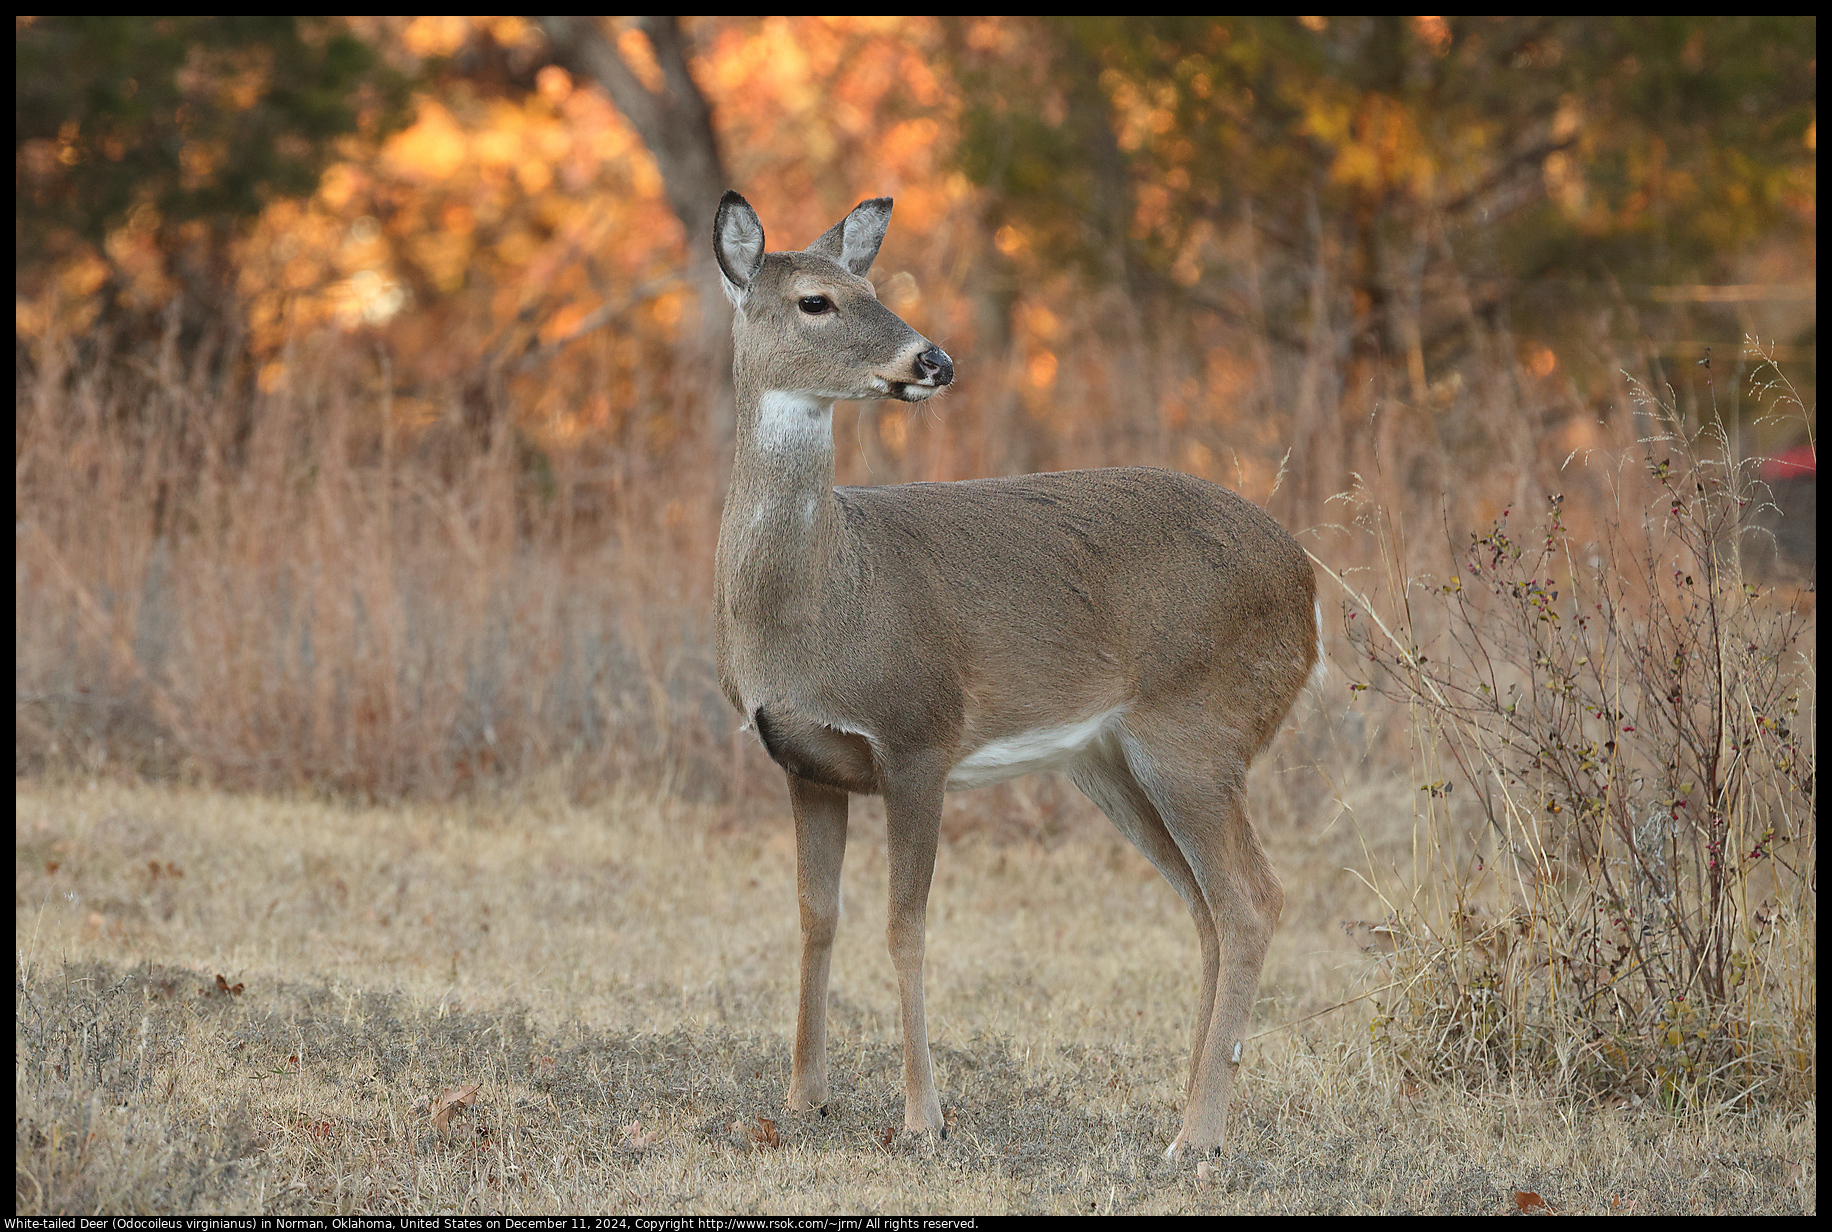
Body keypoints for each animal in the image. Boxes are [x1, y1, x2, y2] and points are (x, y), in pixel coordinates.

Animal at [703, 187, 1319, 1158]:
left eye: (872, 285)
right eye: (816, 301)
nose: (934, 359)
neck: (819, 605)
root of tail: (1312, 586)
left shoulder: (918, 732)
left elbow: (905, 926)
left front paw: (923, 1119)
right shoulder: (804, 760)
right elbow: (815, 918)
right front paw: (802, 1101)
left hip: (1199, 728)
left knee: (1253, 900)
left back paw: (1197, 1139)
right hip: (1112, 763)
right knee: (1207, 909)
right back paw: (1187, 1114)